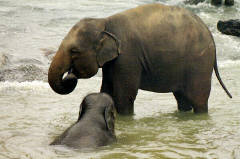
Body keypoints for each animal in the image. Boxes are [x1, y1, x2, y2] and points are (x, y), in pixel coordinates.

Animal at [47, 3, 232, 114]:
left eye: (74, 51)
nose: (70, 75)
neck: (104, 22)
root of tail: (208, 32)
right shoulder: (114, 61)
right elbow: (106, 89)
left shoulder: (128, 56)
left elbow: (124, 95)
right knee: (182, 98)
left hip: (199, 62)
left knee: (198, 98)